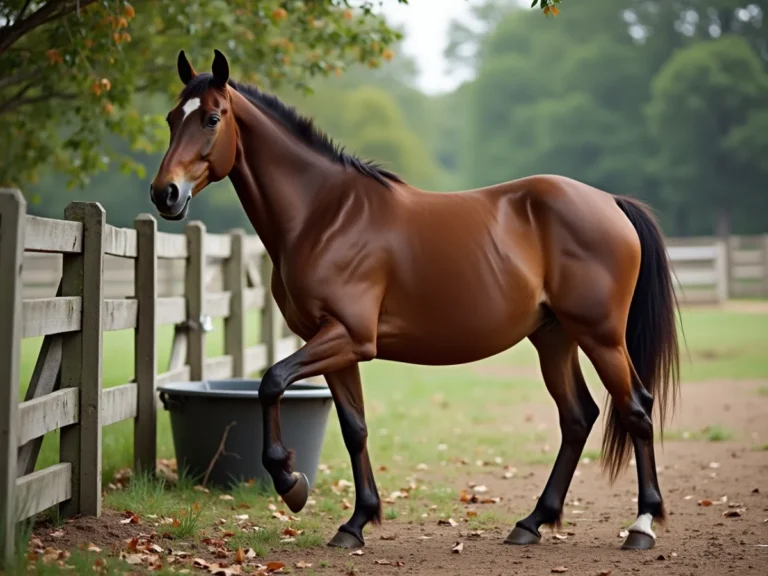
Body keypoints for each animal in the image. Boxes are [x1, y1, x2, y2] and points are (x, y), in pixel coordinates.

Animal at [149, 49, 680, 552]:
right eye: (172, 118)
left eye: (211, 118)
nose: (164, 194)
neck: (325, 215)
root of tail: (611, 203)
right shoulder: (335, 344)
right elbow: (354, 427)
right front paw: (356, 523)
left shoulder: (347, 337)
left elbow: (272, 382)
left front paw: (290, 482)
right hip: (553, 338)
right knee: (578, 417)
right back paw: (531, 522)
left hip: (600, 336)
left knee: (635, 409)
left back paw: (642, 526)